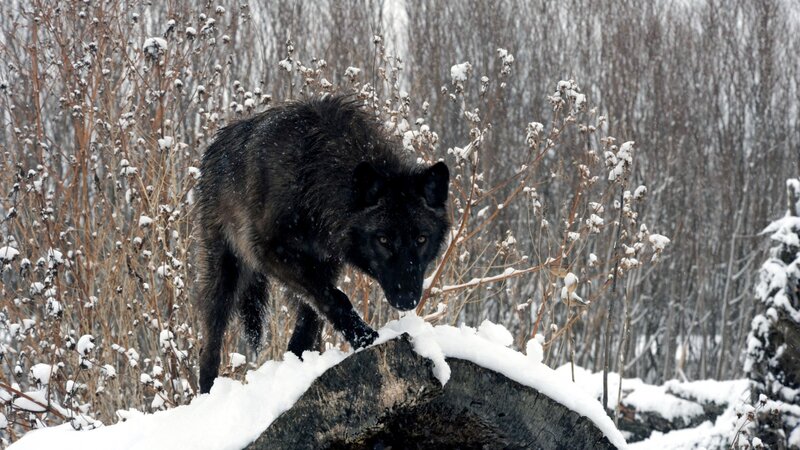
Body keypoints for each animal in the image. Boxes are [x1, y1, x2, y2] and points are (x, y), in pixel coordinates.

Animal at [195, 96, 450, 394]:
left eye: (421, 239)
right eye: (383, 240)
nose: (407, 299)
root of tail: (215, 146)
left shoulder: (325, 264)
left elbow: (314, 316)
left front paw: (302, 363)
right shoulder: (272, 253)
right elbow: (335, 298)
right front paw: (364, 337)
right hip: (225, 275)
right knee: (210, 344)